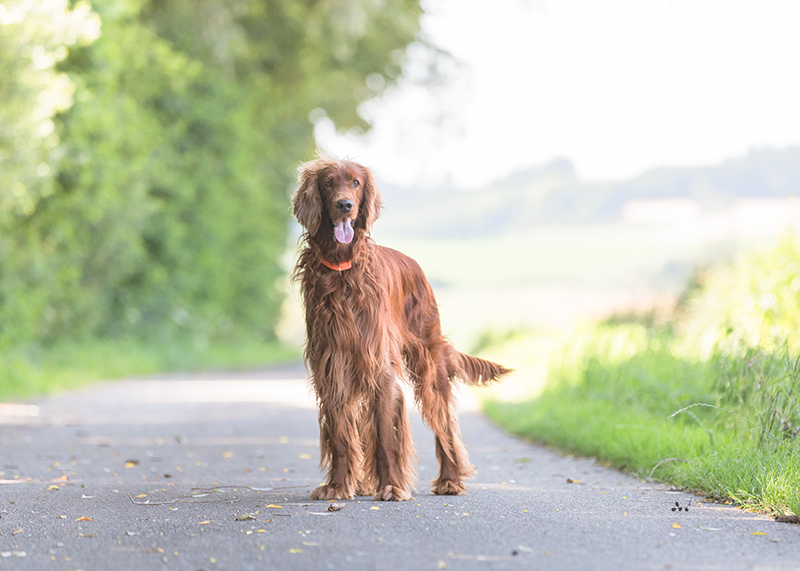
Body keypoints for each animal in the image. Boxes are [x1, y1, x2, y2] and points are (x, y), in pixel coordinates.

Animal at [290, 155, 510, 500]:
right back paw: (364, 484)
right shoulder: (332, 366)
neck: (341, 270)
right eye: (328, 183)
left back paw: (450, 480)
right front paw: (338, 486)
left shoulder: (380, 368)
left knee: (444, 425)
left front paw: (392, 486)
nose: (345, 205)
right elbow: (341, 436)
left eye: (356, 183)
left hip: (429, 363)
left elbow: (385, 437)